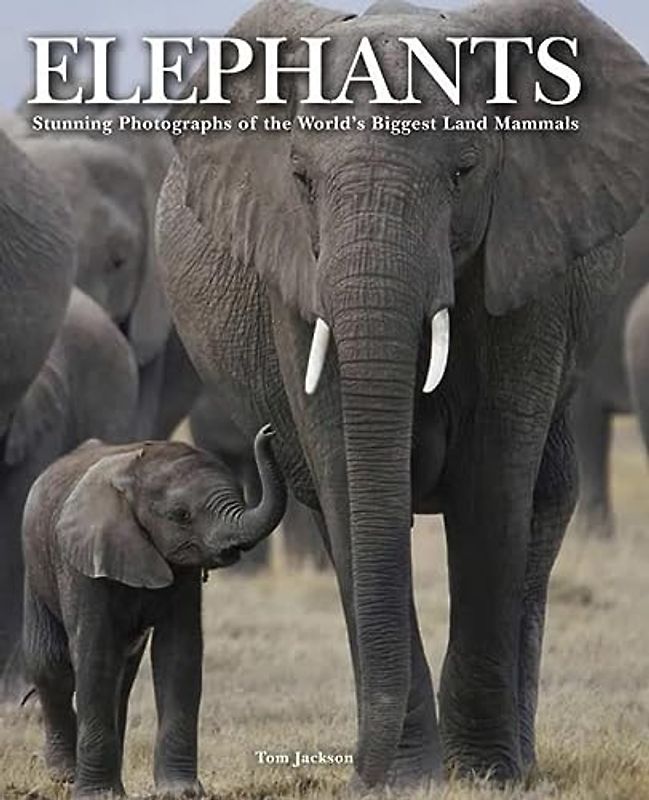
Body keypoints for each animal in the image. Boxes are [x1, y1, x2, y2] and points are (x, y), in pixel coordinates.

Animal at [21, 426, 285, 799]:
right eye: (181, 515)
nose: (268, 431)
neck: (133, 473)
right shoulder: (85, 560)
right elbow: (94, 654)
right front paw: (99, 795)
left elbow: (179, 653)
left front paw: (180, 792)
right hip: (36, 564)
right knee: (53, 665)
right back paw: (65, 776)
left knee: (122, 676)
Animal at [156, 0, 649, 788]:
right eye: (301, 178)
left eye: (463, 171)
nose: (360, 775)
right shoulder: (295, 282)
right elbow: (346, 473)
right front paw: (407, 778)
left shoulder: (526, 263)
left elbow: (493, 483)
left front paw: (482, 775)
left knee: (543, 507)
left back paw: (519, 761)